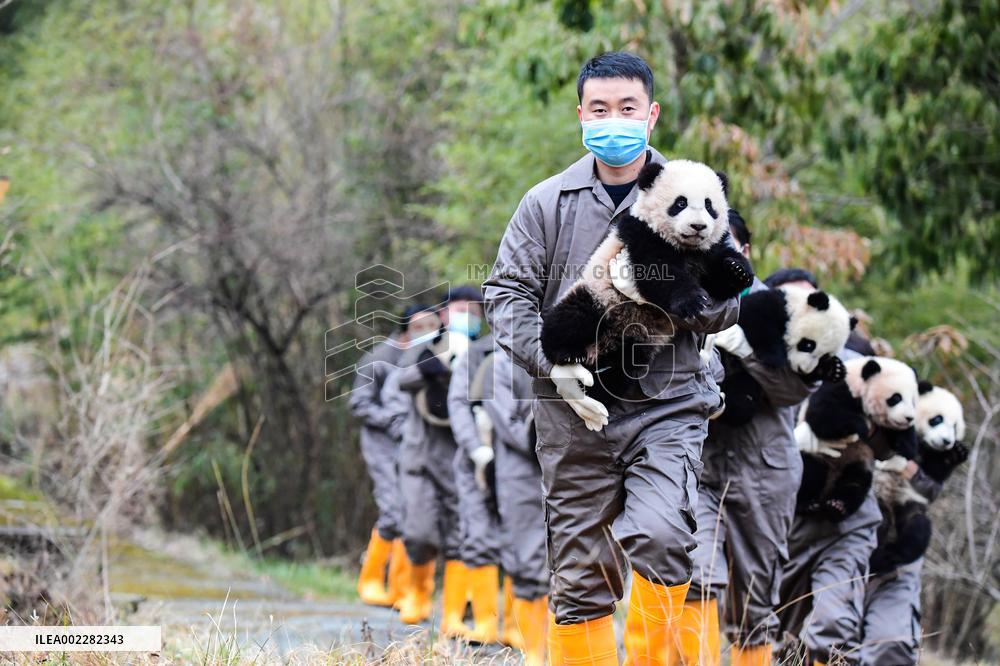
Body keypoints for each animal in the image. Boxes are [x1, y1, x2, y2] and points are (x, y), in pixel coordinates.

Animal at [540, 159, 754, 400]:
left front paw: (738, 269)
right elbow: (658, 272)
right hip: (599, 297)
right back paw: (567, 354)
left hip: (636, 343)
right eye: (681, 203)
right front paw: (691, 301)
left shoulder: (707, 253)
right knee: (571, 317)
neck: (686, 248)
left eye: (709, 206)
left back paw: (600, 384)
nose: (698, 227)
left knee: (620, 368)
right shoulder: (640, 235)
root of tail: (597, 348)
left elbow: (718, 281)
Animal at [715, 285, 855, 426]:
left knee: (742, 391)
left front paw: (835, 369)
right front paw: (774, 357)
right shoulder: (773, 305)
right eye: (809, 345)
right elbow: (755, 319)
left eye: (825, 356)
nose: (802, 369)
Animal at [794, 356, 920, 521]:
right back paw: (807, 504)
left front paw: (907, 446)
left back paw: (836, 507)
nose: (909, 418)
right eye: (896, 398)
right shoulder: (839, 389)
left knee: (855, 484)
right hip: (818, 456)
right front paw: (861, 427)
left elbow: (901, 440)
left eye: (913, 401)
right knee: (810, 472)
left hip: (858, 462)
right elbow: (822, 415)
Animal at [869, 382, 968, 574]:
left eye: (955, 427)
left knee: (917, 529)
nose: (946, 441)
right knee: (880, 520)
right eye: (937, 419)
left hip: (908, 504)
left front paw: (957, 453)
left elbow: (935, 474)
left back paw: (890, 556)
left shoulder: (929, 463)